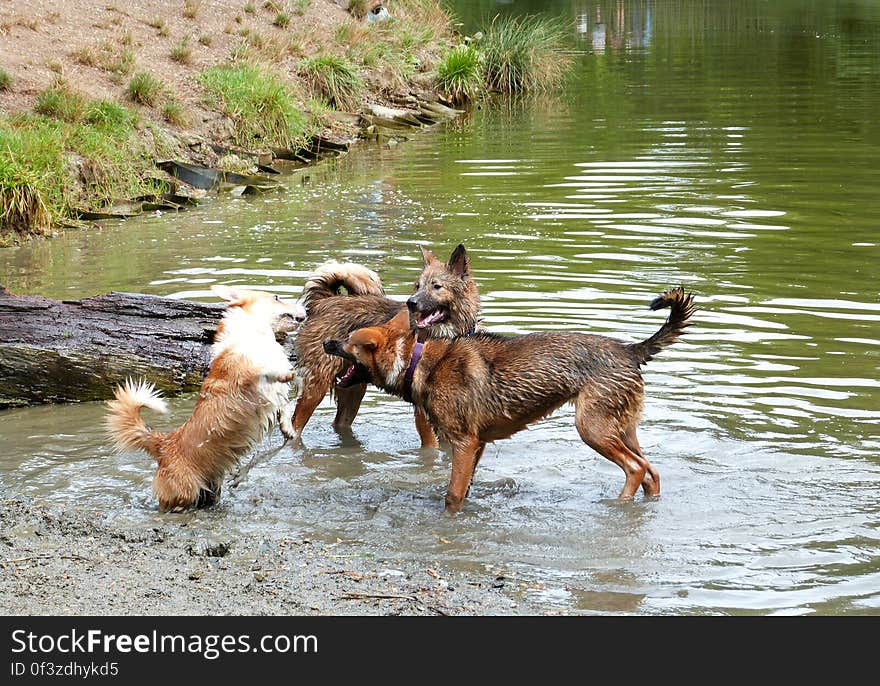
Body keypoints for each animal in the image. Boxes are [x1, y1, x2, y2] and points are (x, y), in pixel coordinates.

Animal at [278, 245, 478, 448]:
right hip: (315, 387)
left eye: (436, 286)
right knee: (296, 425)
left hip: (353, 389)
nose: (411, 302)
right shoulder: (422, 413)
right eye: (417, 286)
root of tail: (325, 301)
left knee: (339, 423)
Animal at [324, 288, 696, 512]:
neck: (415, 360)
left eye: (348, 341)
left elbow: (452, 495)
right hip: (623, 428)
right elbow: (465, 488)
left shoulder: (463, 443)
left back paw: (618, 505)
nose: (327, 342)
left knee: (636, 468)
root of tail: (630, 350)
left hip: (592, 429)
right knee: (652, 471)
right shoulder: (477, 446)